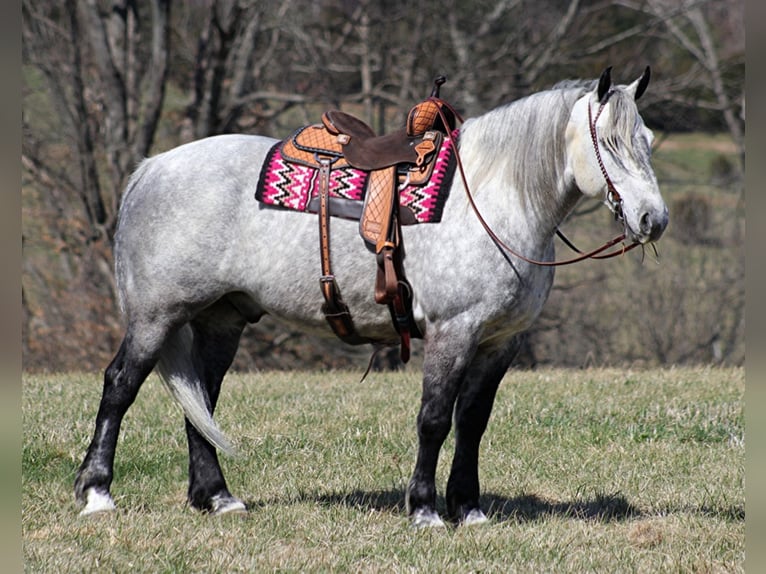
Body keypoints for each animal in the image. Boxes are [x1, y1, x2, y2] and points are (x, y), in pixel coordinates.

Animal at [75, 66, 668, 528]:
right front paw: (425, 510)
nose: (653, 220)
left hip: (221, 320)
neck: (494, 200)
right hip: (156, 317)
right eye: (609, 143)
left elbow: (473, 421)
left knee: (201, 399)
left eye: (648, 140)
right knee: (120, 386)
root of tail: (151, 169)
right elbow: (435, 418)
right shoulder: (453, 332)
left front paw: (469, 509)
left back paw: (217, 497)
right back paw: (98, 493)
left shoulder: (501, 342)